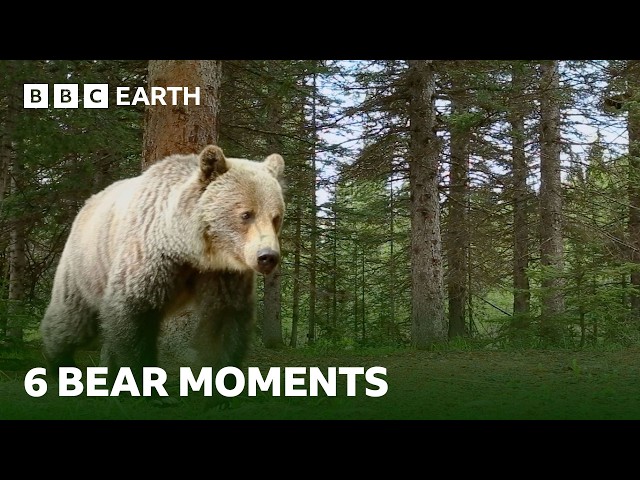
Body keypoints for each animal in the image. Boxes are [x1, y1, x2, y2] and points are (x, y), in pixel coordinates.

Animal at [39, 145, 285, 387]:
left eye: (276, 217)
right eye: (246, 214)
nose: (267, 256)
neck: (191, 249)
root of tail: (86, 204)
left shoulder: (223, 273)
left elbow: (225, 320)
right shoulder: (150, 259)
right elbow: (133, 315)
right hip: (86, 266)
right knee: (74, 320)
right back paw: (60, 362)